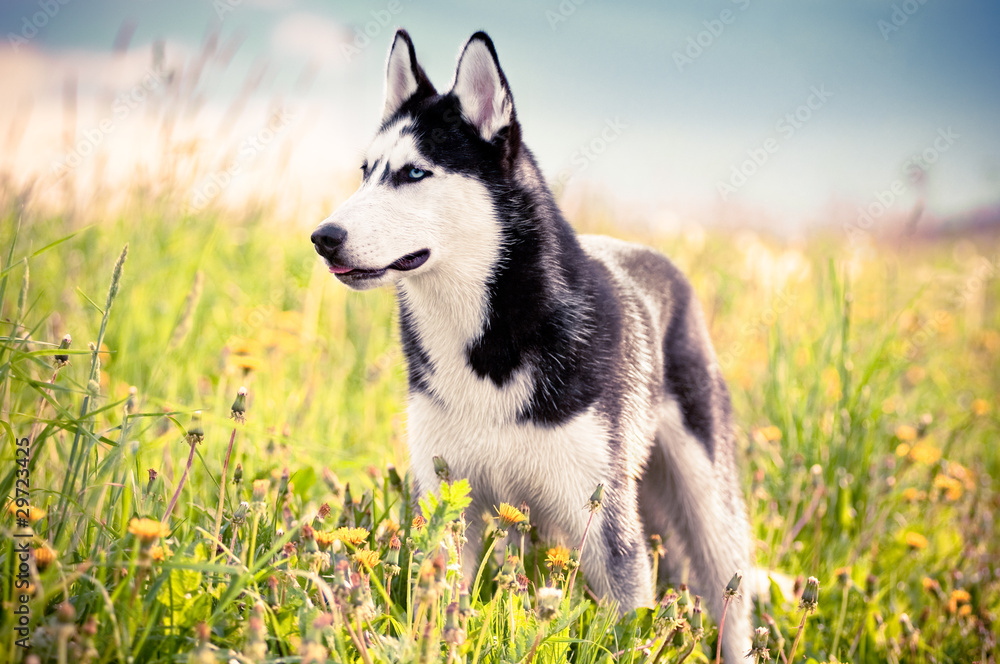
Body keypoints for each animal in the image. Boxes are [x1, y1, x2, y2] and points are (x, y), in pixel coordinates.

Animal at [312, 29, 752, 660]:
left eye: (414, 174)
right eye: (367, 171)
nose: (323, 238)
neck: (485, 341)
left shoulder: (606, 526)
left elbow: (624, 629)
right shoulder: (448, 505)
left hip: (707, 508)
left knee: (732, 603)